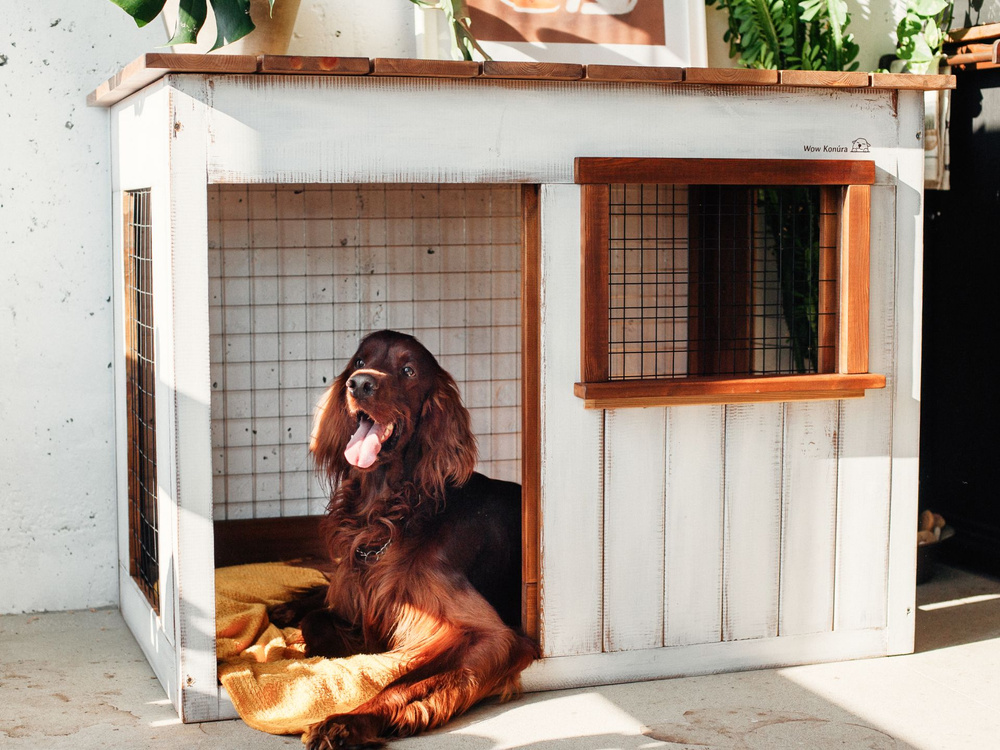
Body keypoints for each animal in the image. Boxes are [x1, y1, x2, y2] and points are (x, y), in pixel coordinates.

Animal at [274, 332, 536, 748]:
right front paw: (341, 645)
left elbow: (401, 683)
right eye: (359, 360)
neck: (391, 518)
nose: (359, 384)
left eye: (408, 371)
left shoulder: (489, 635)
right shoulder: (357, 590)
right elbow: (320, 617)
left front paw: (345, 721)